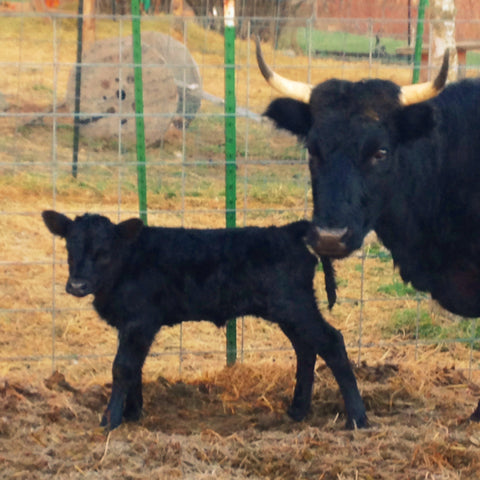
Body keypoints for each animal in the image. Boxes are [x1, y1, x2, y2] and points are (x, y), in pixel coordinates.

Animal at [42, 211, 368, 432]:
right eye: (69, 248)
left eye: (104, 252)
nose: (77, 285)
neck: (126, 265)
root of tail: (288, 230)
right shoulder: (130, 326)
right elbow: (134, 367)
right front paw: (132, 413)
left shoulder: (140, 321)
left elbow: (122, 368)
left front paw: (110, 419)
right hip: (289, 311)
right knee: (306, 348)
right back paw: (298, 410)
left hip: (294, 306)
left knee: (331, 342)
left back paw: (357, 418)